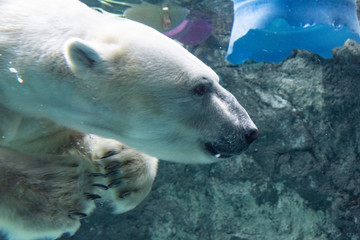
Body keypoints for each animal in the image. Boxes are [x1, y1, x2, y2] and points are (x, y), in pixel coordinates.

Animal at [0, 0, 258, 240]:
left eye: (217, 80)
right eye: (201, 87)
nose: (248, 131)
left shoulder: (42, 118)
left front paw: (124, 166)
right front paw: (64, 194)